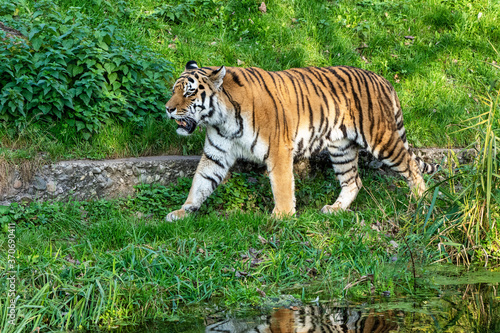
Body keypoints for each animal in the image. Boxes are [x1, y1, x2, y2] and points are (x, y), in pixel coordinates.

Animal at [165, 60, 438, 220]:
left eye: (189, 93)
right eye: (173, 91)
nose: (167, 109)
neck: (221, 119)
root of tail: (382, 79)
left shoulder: (278, 149)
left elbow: (282, 185)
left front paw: (282, 217)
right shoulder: (216, 154)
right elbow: (200, 183)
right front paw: (182, 211)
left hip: (381, 139)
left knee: (411, 167)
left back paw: (422, 201)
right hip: (341, 148)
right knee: (353, 181)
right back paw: (334, 210)